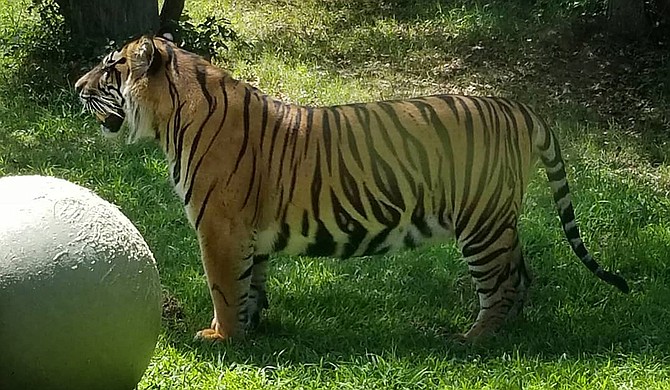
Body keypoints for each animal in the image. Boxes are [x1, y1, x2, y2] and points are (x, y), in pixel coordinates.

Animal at [75, 35, 632, 342]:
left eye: (110, 67)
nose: (77, 88)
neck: (170, 118)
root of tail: (518, 107)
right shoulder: (246, 232)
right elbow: (251, 282)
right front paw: (253, 330)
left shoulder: (219, 227)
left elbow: (223, 286)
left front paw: (220, 336)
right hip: (498, 221)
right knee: (522, 273)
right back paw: (505, 334)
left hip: (482, 223)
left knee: (502, 283)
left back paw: (471, 340)